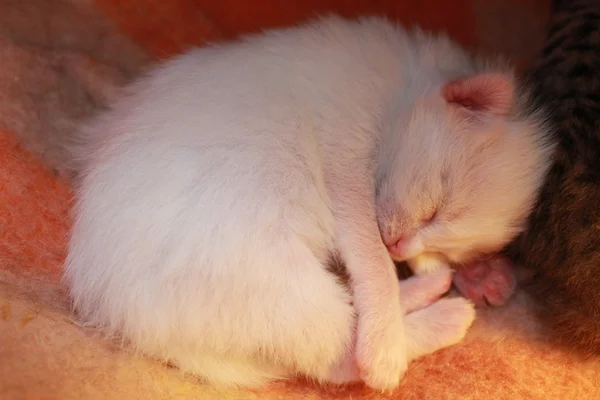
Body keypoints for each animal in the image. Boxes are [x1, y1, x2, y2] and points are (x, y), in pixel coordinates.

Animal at [63, 15, 552, 390]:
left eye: (444, 244)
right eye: (435, 207)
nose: (405, 250)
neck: (397, 92)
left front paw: (464, 272)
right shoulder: (347, 167)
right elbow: (373, 260)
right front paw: (387, 334)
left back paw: (432, 292)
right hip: (274, 284)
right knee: (339, 357)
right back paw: (428, 326)